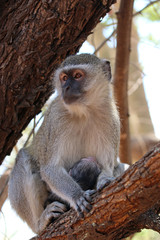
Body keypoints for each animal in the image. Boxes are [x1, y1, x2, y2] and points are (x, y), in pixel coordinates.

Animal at [8, 53, 126, 233]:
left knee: (120, 166)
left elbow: (107, 165)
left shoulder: (110, 117)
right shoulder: (56, 118)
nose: (66, 88)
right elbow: (50, 169)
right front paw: (77, 196)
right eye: (64, 78)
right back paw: (40, 223)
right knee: (23, 158)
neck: (84, 112)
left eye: (77, 75)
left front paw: (104, 180)